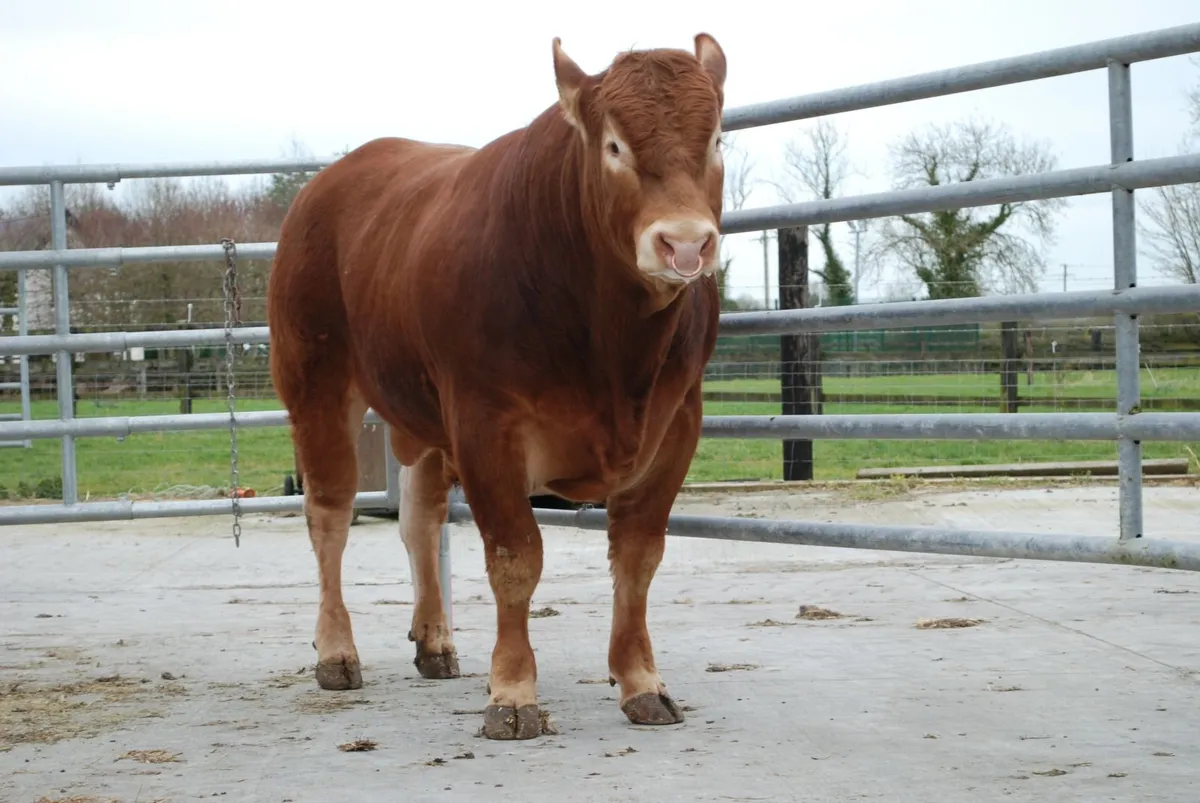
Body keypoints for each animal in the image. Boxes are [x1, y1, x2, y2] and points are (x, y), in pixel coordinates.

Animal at [266, 32, 727, 740]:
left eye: (716, 140)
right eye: (614, 146)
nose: (684, 244)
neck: (615, 351)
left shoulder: (677, 423)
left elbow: (639, 558)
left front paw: (642, 682)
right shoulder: (486, 422)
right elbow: (516, 558)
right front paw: (512, 692)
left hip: (422, 414)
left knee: (419, 518)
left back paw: (434, 641)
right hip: (316, 381)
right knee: (329, 515)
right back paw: (336, 652)